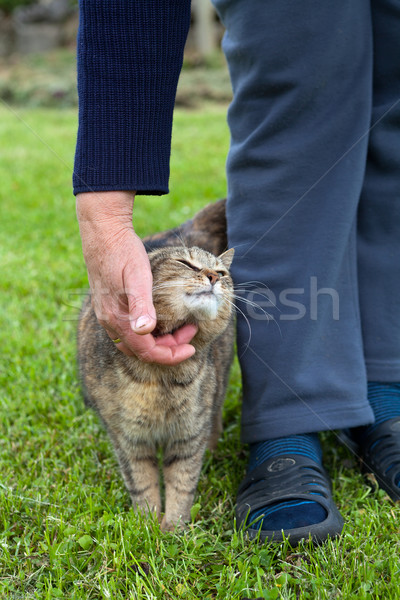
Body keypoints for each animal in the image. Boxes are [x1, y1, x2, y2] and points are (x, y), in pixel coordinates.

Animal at [77, 239, 234, 528]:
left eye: (222, 272)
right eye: (186, 263)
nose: (214, 277)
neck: (162, 376)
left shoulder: (189, 434)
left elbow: (182, 483)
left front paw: (173, 528)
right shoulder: (127, 438)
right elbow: (141, 483)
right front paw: (146, 525)